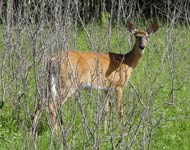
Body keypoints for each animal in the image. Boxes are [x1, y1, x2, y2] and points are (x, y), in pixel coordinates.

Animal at [30, 21, 159, 135]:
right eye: (136, 36)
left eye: (147, 36)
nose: (142, 46)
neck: (126, 61)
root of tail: (52, 59)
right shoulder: (118, 85)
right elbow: (120, 110)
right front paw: (123, 132)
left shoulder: (106, 88)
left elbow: (105, 111)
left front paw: (105, 132)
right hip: (67, 82)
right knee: (52, 105)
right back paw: (56, 134)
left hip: (50, 81)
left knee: (40, 101)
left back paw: (32, 132)